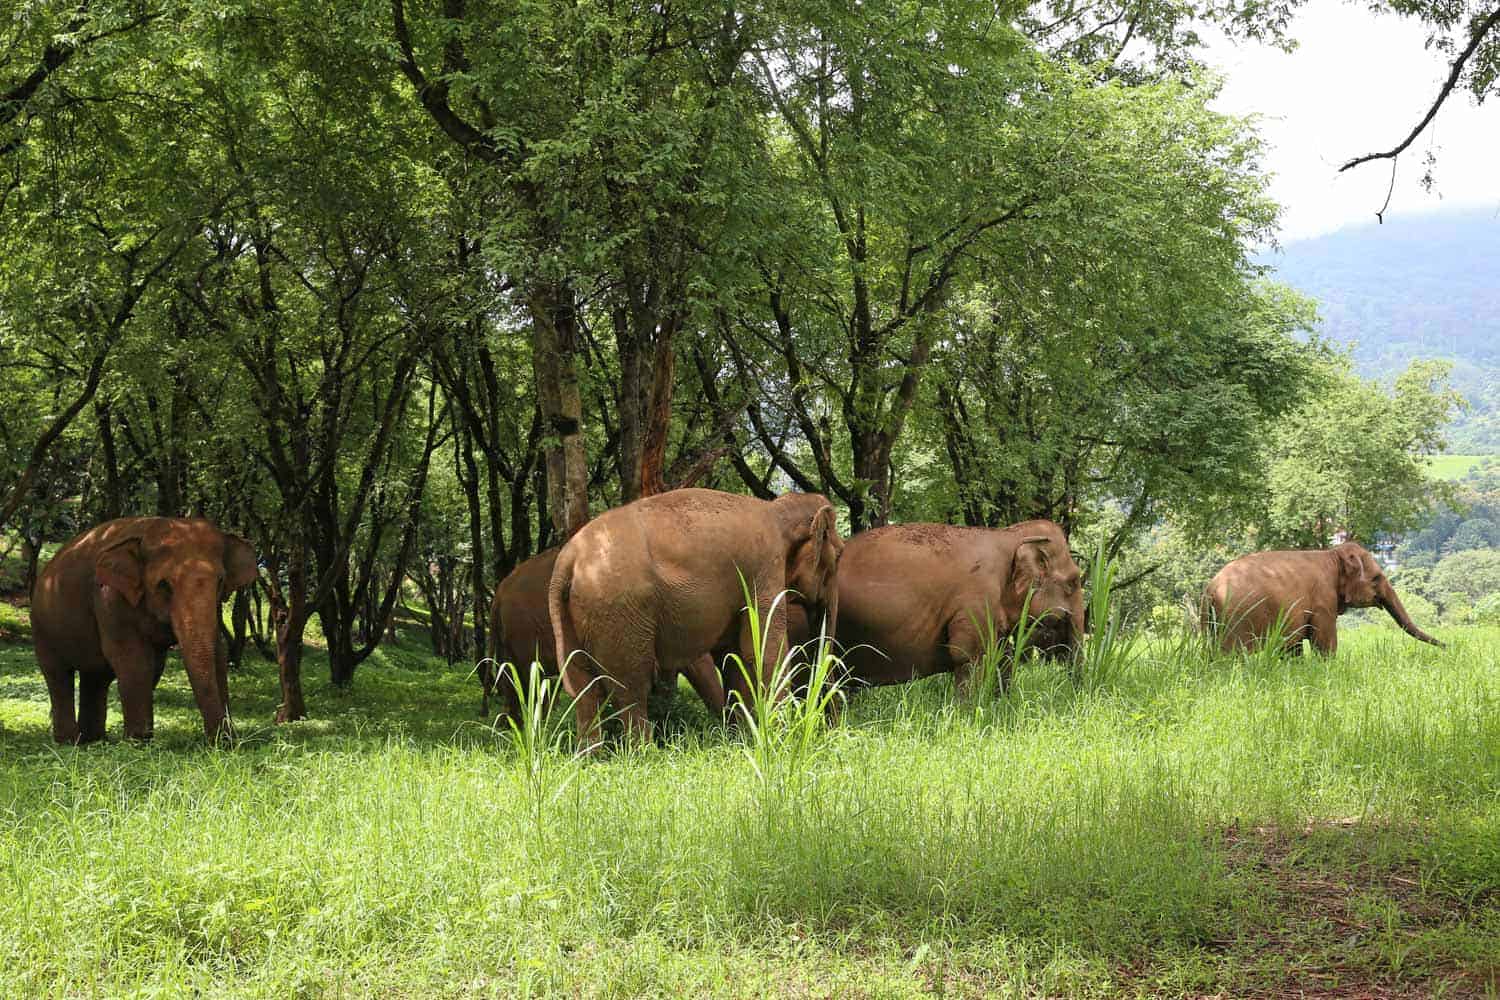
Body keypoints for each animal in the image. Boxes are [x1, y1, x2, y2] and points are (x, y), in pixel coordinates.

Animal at [30, 517, 259, 744]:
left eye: (220, 582)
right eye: (164, 585)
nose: (223, 742)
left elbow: (215, 654)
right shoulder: (109, 597)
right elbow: (133, 658)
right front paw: (137, 741)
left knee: (95, 677)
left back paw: (93, 739)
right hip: (42, 627)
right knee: (58, 675)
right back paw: (69, 741)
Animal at [548, 488, 843, 746]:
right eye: (839, 555)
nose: (831, 728)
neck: (778, 510)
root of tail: (566, 560)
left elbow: (733, 657)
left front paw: (740, 738)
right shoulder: (765, 569)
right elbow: (763, 651)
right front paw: (781, 736)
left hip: (581, 613)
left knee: (584, 689)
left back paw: (590, 757)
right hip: (619, 612)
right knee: (630, 687)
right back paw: (644, 754)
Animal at [830, 520, 1084, 697]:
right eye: (1073, 582)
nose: (1072, 693)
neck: (1009, 534)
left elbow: (1002, 656)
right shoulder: (976, 600)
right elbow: (967, 655)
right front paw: (968, 716)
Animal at [1202, 541, 1443, 655]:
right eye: (1376, 578)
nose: (1447, 647)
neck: (1333, 554)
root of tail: (1211, 589)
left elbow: (1293, 646)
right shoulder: (1322, 601)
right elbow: (1325, 643)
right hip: (1237, 619)